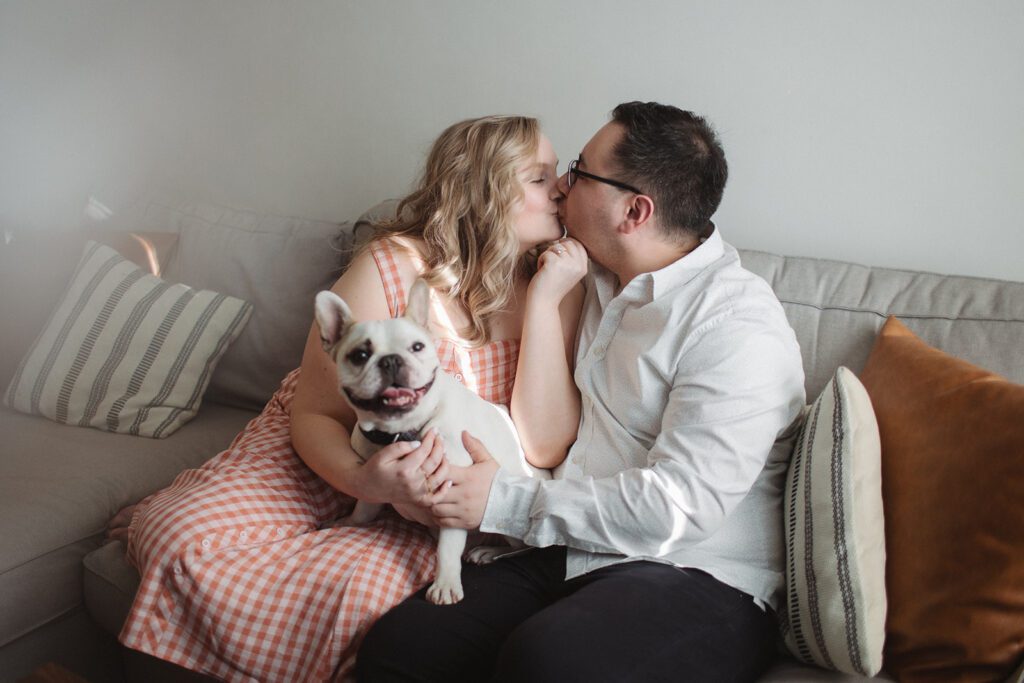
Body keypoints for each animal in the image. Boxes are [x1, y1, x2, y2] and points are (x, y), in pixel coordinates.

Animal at [313, 278, 548, 602]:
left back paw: (489, 552)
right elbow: (364, 508)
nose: (391, 360)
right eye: (359, 355)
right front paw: (347, 522)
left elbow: (447, 548)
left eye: (417, 347)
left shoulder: (453, 495)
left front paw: (445, 583)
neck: (403, 431)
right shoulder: (374, 482)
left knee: (525, 547)